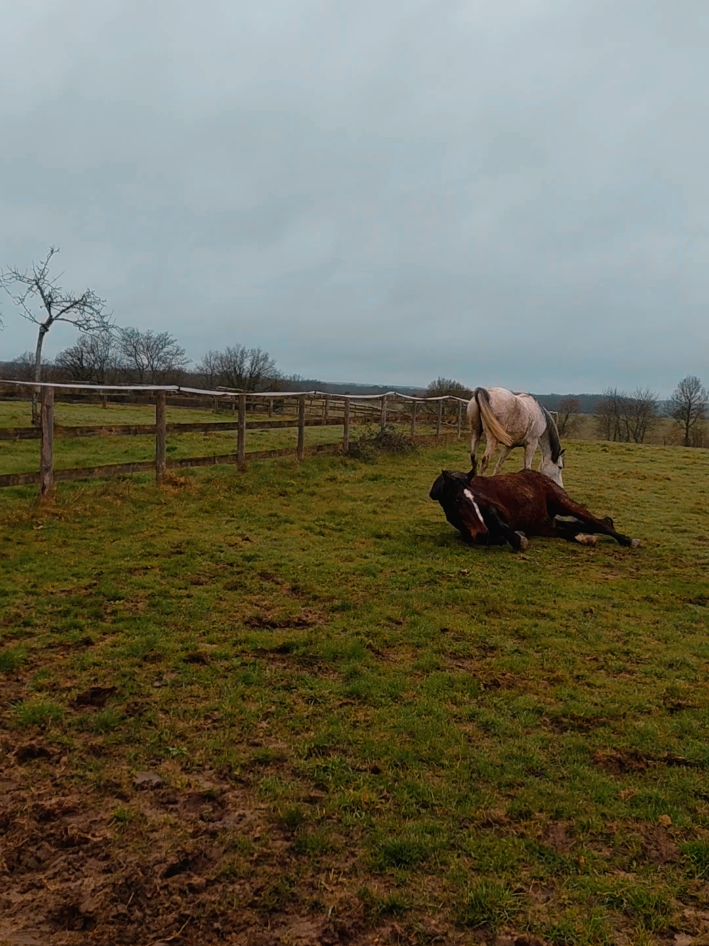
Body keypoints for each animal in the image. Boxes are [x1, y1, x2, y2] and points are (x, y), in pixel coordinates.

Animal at [429, 464, 640, 552]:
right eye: (457, 500)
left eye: (475, 499)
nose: (482, 532)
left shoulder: (498, 510)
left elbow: (496, 521)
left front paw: (518, 539)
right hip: (545, 526)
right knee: (572, 528)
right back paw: (587, 537)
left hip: (564, 503)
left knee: (596, 523)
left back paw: (628, 540)